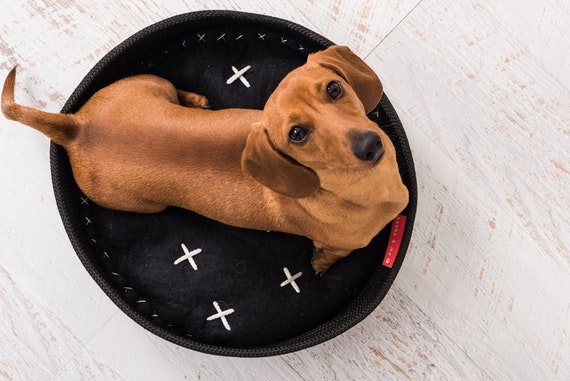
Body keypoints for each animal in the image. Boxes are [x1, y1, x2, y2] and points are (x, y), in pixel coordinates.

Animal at [2, 46, 406, 272]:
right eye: (297, 134)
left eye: (334, 88)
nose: (370, 146)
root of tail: (76, 126)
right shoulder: (340, 245)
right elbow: (331, 255)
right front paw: (321, 265)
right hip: (142, 204)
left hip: (154, 82)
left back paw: (195, 99)